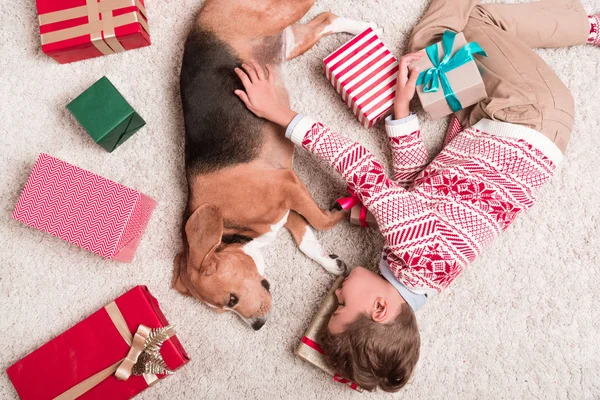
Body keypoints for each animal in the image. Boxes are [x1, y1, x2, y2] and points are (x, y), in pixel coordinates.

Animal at [175, 0, 380, 330]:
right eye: (225, 309)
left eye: (230, 300)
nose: (257, 326)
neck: (232, 227)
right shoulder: (287, 209)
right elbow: (307, 240)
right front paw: (330, 262)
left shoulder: (287, 184)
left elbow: (321, 221)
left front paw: (339, 209)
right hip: (292, 41)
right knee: (327, 19)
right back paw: (365, 29)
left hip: (279, 16)